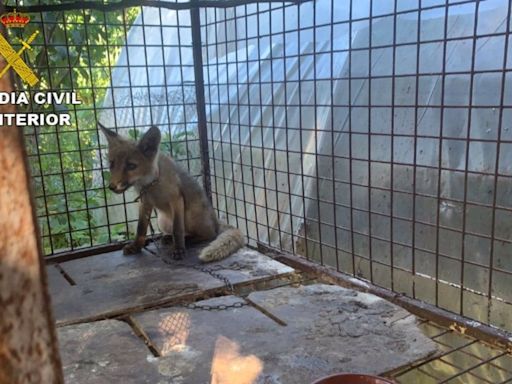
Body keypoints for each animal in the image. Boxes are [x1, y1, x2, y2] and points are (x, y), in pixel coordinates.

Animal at [100, 124, 246, 262]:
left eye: (131, 166)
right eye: (111, 164)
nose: (111, 186)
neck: (152, 185)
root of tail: (216, 221)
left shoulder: (176, 199)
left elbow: (178, 229)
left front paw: (179, 249)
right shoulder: (145, 202)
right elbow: (141, 228)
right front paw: (136, 246)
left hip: (191, 215)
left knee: (209, 235)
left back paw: (188, 241)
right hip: (162, 221)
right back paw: (169, 238)